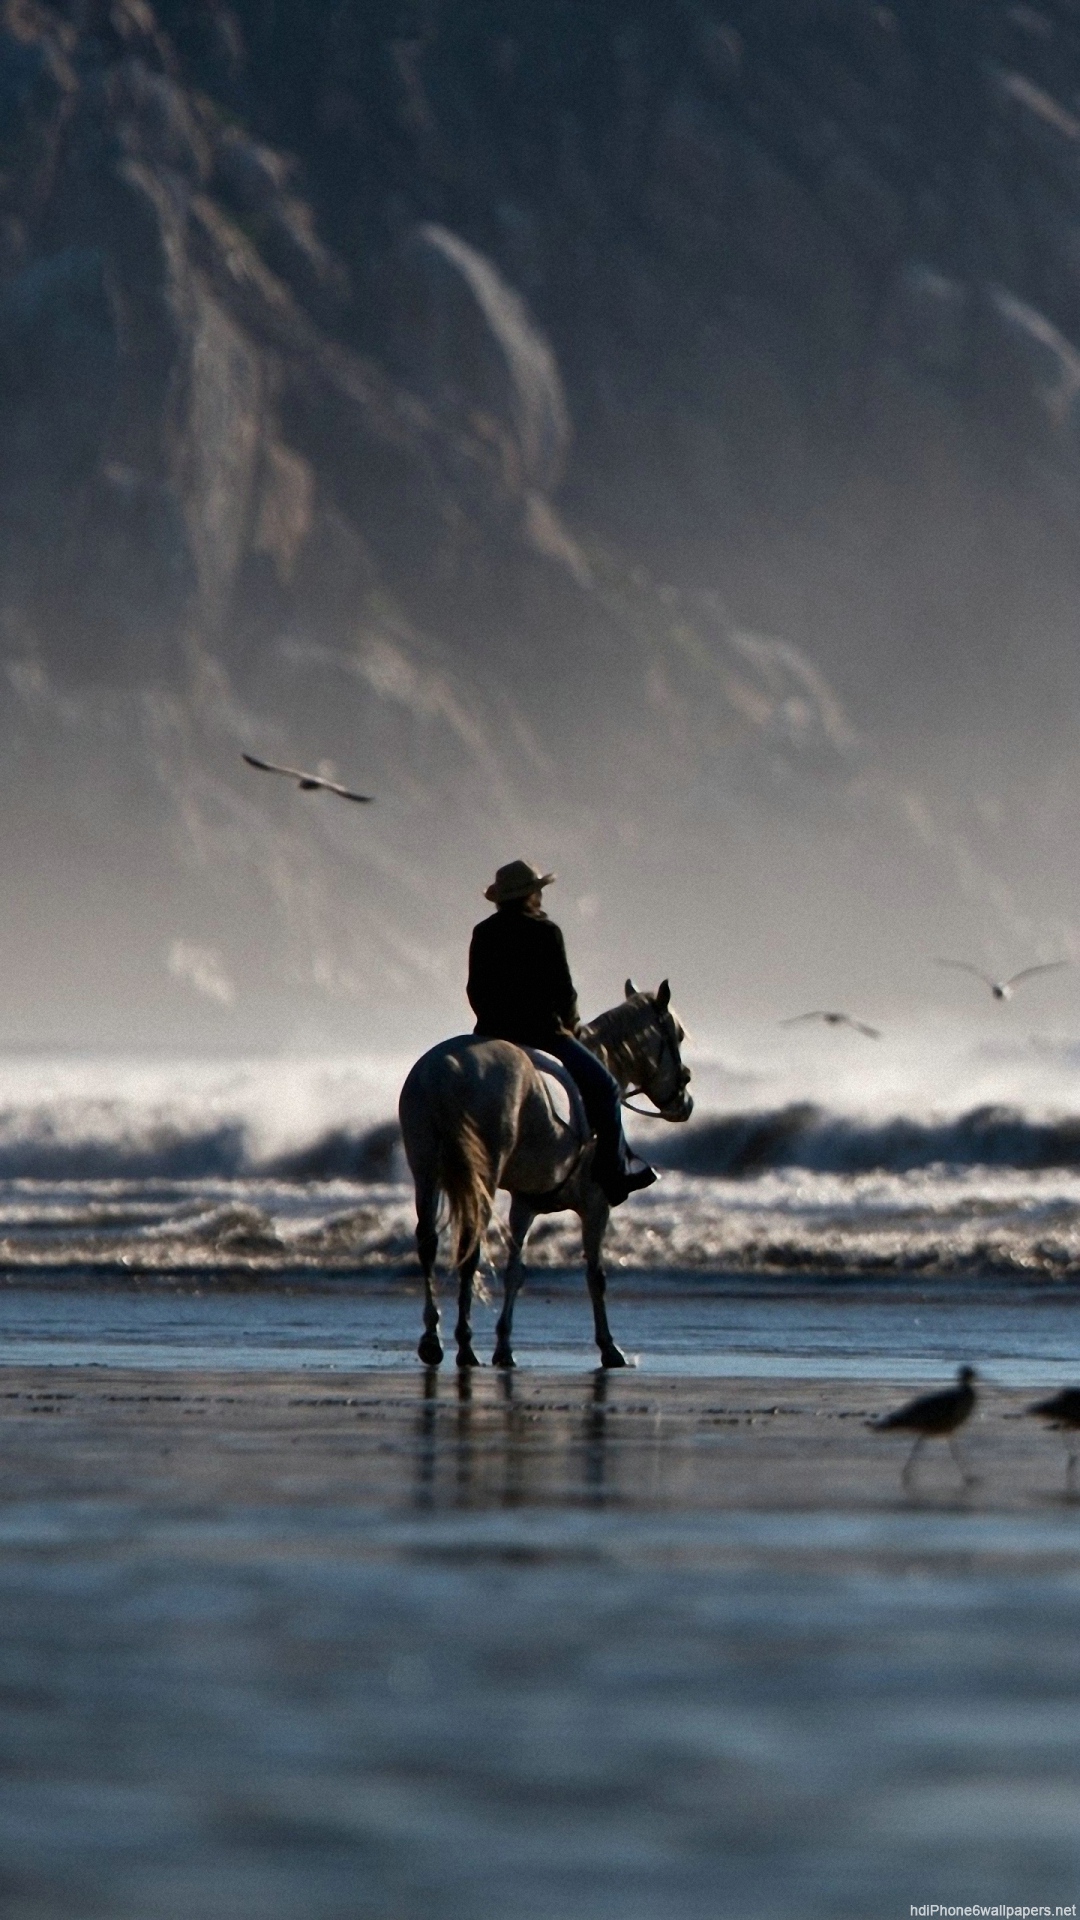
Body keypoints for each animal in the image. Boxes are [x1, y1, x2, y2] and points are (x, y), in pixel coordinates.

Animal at [398, 979, 693, 1369]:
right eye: (678, 1035)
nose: (685, 1102)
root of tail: (444, 1070)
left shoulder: (525, 1205)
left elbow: (515, 1271)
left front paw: (504, 1347)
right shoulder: (596, 1204)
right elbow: (595, 1275)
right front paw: (609, 1347)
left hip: (425, 1169)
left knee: (429, 1242)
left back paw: (433, 1338)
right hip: (482, 1176)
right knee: (469, 1247)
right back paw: (464, 1345)